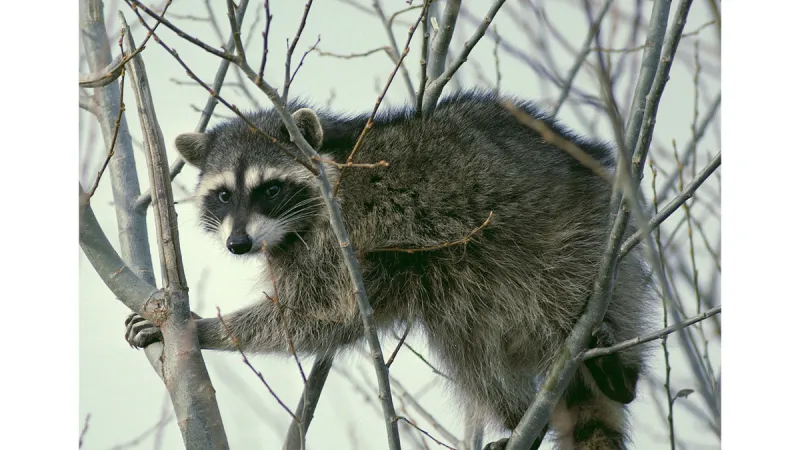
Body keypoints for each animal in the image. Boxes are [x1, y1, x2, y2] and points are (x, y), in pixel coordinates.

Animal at [126, 90, 655, 450]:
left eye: (270, 189)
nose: (238, 244)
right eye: (222, 195)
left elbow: (316, 312)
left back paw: (619, 372)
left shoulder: (344, 235)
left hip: (579, 239)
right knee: (468, 346)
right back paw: (522, 416)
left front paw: (205, 328)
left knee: (561, 292)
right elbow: (323, 318)